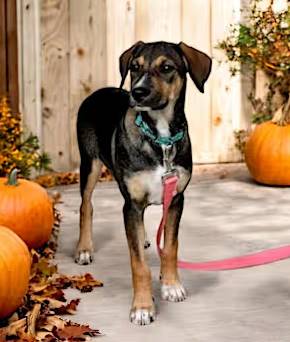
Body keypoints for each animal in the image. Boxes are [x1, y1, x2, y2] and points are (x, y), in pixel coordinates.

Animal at [75, 41, 211, 324]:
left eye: (167, 67)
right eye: (134, 67)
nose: (137, 92)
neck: (160, 137)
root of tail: (96, 92)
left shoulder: (176, 199)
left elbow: (170, 246)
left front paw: (171, 285)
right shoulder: (132, 205)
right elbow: (138, 264)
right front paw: (142, 307)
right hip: (90, 163)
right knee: (86, 205)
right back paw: (84, 248)